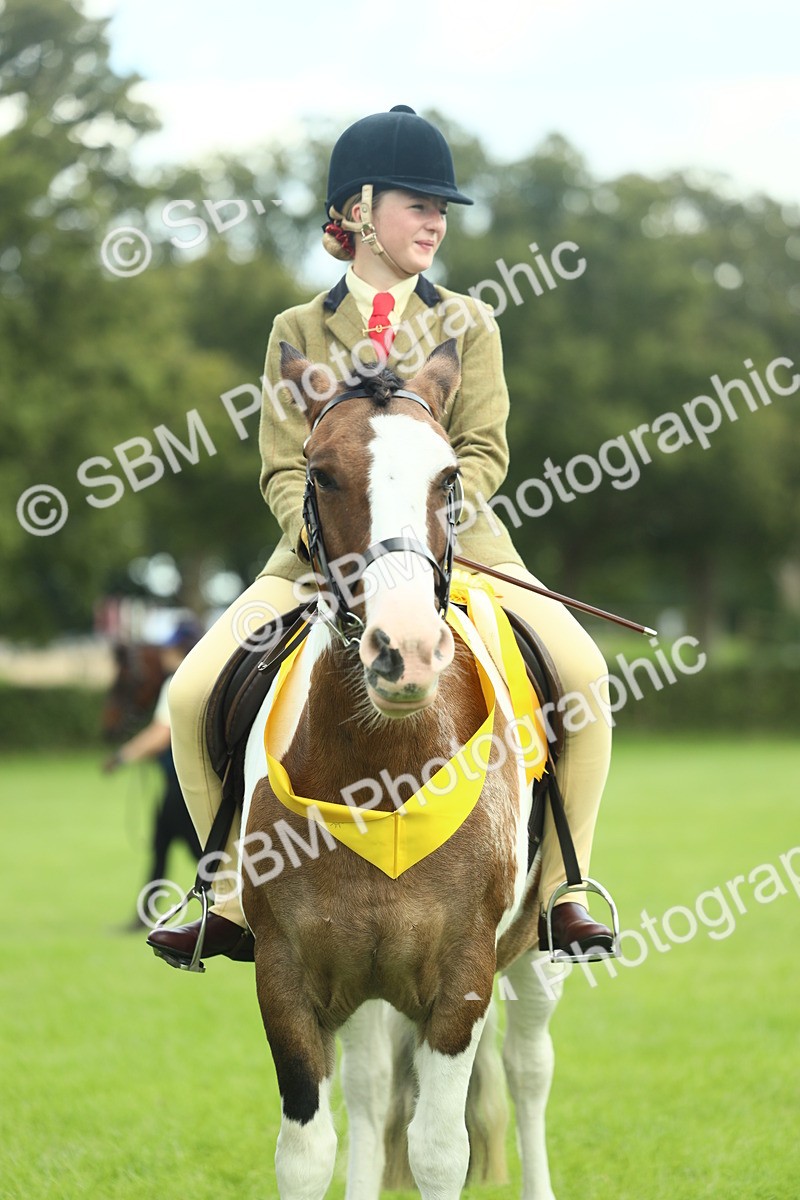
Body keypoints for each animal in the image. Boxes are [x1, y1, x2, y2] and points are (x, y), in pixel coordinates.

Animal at [240, 340, 564, 1200]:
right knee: (371, 1085)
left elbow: (439, 1150)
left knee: (529, 1070)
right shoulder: (288, 973)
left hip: (537, 947)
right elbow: (306, 1152)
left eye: (448, 477)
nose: (405, 651)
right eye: (321, 472)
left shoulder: (462, 976)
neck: (380, 773)